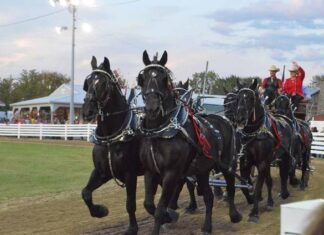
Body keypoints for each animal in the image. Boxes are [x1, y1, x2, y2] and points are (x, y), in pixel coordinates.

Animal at [81, 56, 142, 235]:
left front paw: (132, 228)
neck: (111, 138)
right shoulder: (102, 172)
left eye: (103, 83)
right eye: (87, 82)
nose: (87, 111)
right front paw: (100, 211)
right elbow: (85, 193)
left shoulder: (130, 173)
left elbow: (130, 204)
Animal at [136, 51, 240, 235]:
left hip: (227, 163)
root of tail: (225, 120)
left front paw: (167, 215)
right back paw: (207, 227)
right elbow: (149, 204)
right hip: (202, 170)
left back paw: (234, 214)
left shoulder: (171, 174)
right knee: (208, 196)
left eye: (164, 78)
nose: (152, 108)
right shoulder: (150, 171)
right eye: (142, 78)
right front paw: (170, 215)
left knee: (231, 185)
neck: (161, 132)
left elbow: (160, 208)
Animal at [235, 79, 294, 222]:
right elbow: (245, 185)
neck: (255, 132)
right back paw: (270, 202)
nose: (240, 119)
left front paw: (254, 213)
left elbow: (258, 187)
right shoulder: (246, 163)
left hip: (284, 156)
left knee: (284, 173)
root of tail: (284, 119)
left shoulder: (261, 163)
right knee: (269, 181)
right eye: (237, 98)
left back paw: (284, 193)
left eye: (251, 98)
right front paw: (251, 200)